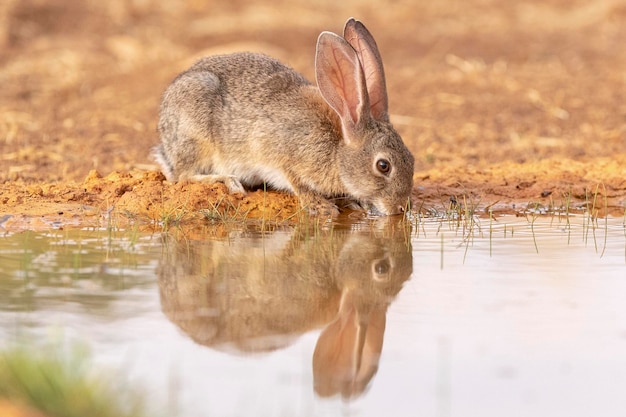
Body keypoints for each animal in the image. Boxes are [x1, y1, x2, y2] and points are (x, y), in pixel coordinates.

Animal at [154, 17, 412, 216]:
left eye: (411, 158)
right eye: (383, 166)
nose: (401, 208)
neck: (337, 149)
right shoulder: (279, 151)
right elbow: (297, 182)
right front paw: (321, 206)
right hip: (197, 134)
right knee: (182, 176)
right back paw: (228, 181)